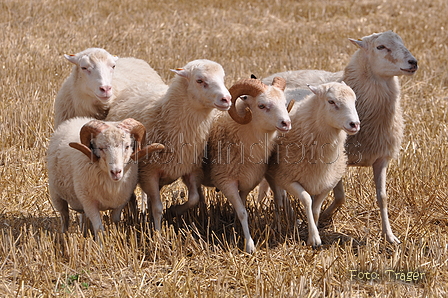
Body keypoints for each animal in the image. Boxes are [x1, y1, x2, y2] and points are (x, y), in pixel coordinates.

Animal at [105, 58, 231, 230]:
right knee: (130, 197)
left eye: (222, 78)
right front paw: (158, 233)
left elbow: (194, 198)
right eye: (199, 80)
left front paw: (174, 210)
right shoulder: (148, 173)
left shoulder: (191, 169)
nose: (227, 99)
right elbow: (158, 208)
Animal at [264, 81, 358, 247]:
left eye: (354, 101)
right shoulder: (288, 179)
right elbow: (307, 200)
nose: (355, 124)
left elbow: (315, 209)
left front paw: (312, 230)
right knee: (279, 197)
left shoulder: (326, 184)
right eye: (331, 101)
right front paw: (314, 238)